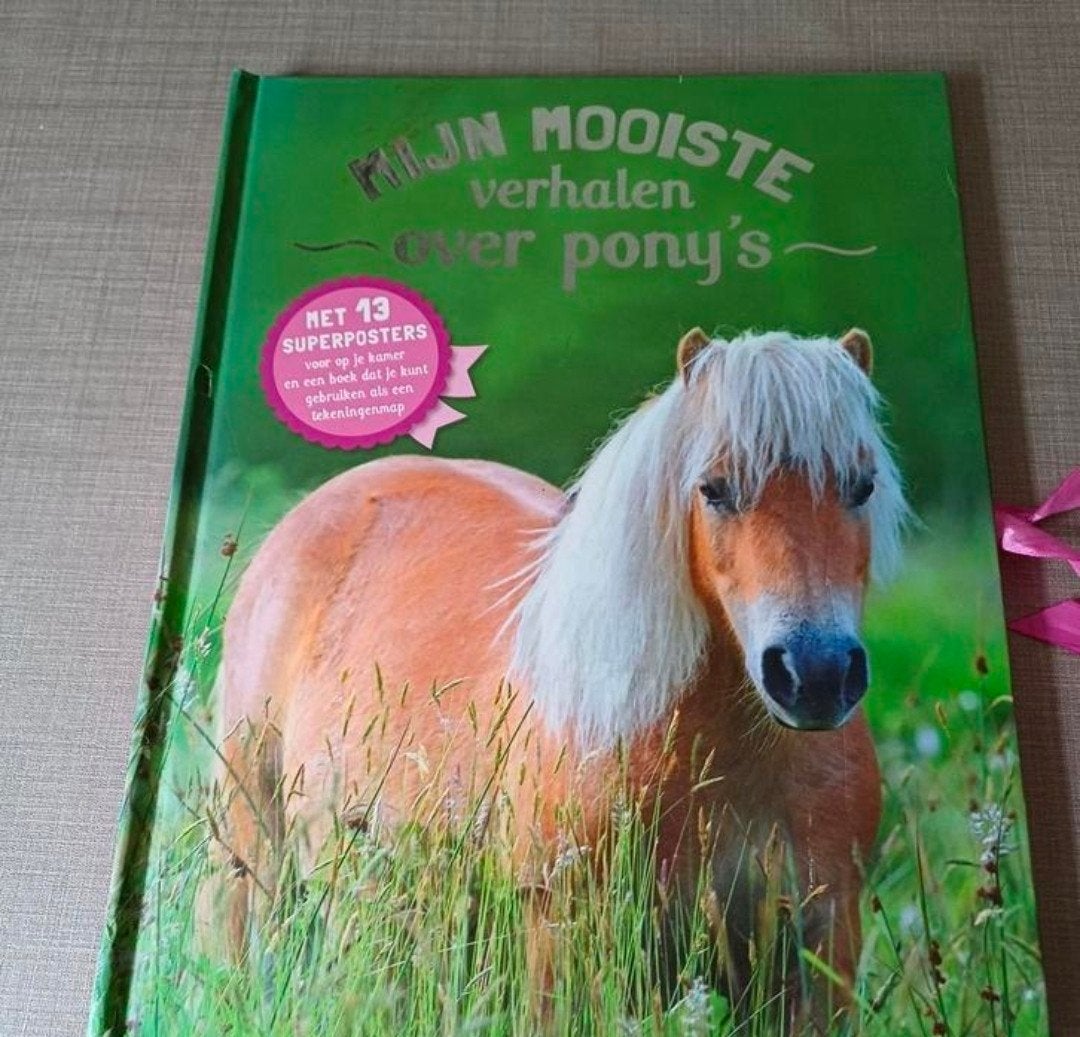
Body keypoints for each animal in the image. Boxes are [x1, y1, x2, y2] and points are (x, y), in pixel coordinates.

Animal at [203, 326, 907, 1027]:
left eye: (862, 486)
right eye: (714, 488)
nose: (815, 675)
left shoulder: (818, 945)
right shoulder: (569, 939)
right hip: (258, 869)